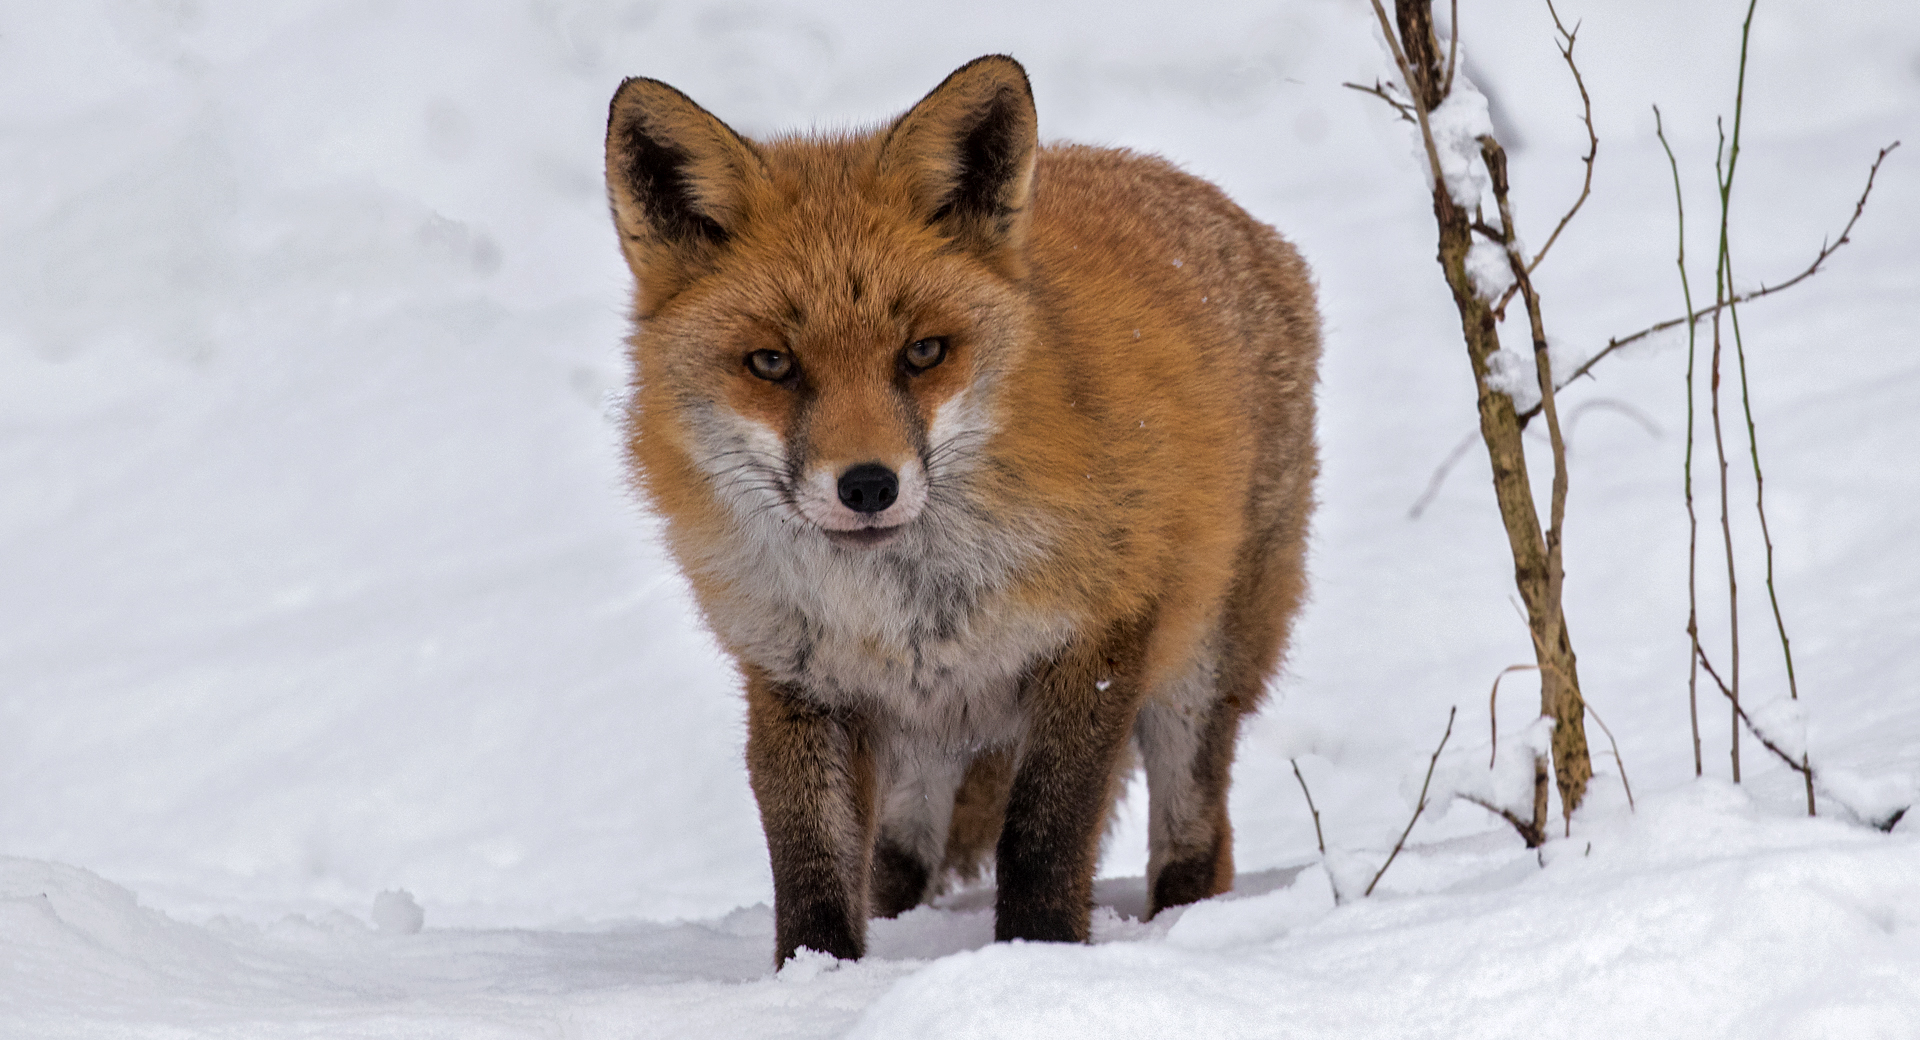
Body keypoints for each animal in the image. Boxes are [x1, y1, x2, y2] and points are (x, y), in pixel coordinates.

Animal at [602, 55, 1320, 970]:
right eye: (771, 364)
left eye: (923, 352)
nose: (867, 485)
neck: (900, 601)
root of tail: (1200, 192)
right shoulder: (794, 674)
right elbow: (811, 864)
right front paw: (816, 978)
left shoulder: (1099, 639)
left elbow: (1044, 837)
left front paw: (1038, 959)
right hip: (926, 730)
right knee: (902, 853)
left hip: (1201, 663)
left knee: (1199, 834)